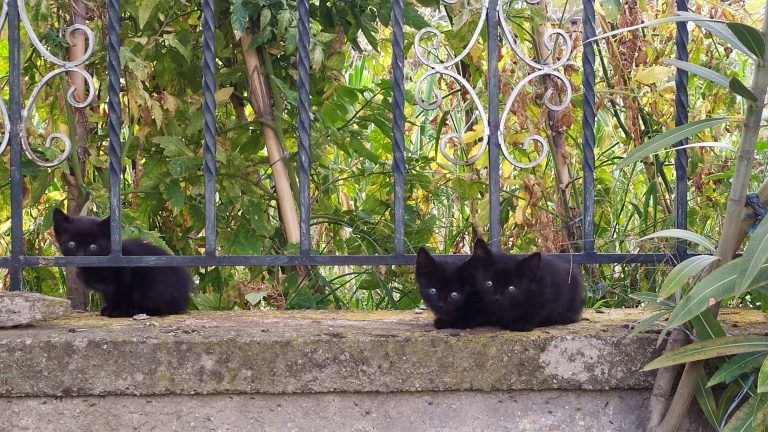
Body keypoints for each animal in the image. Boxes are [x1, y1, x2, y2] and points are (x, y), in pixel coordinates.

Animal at [52, 208, 192, 318]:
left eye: (93, 247)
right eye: (71, 244)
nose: (81, 256)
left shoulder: (123, 279)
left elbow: (122, 294)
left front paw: (117, 311)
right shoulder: (106, 290)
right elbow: (109, 296)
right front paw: (109, 308)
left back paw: (137, 310)